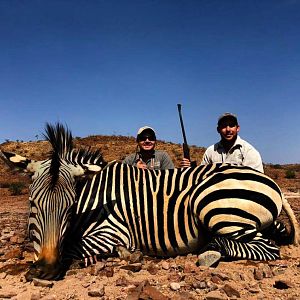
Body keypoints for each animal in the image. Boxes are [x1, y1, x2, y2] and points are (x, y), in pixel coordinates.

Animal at [1, 122, 298, 282]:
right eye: (32, 204)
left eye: (70, 208)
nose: (45, 270)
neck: (94, 199)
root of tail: (271, 182)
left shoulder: (113, 231)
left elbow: (75, 247)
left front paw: (125, 253)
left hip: (215, 206)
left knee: (266, 247)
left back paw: (211, 248)